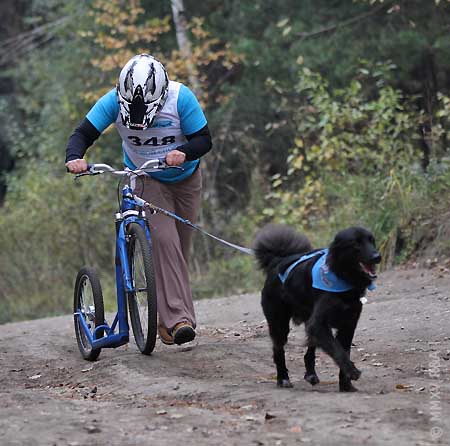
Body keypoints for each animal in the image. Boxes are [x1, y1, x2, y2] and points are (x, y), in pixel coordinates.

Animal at [253, 225, 380, 392]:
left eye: (372, 240)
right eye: (356, 243)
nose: (377, 256)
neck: (341, 276)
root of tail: (278, 261)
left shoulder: (348, 324)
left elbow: (343, 350)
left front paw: (346, 385)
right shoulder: (319, 323)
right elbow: (338, 350)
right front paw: (352, 371)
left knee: (309, 350)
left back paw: (310, 374)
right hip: (279, 324)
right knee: (278, 350)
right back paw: (283, 378)